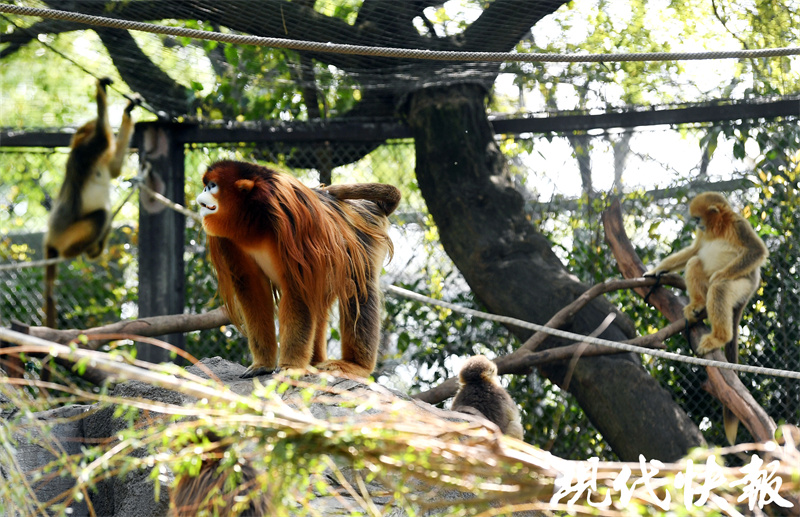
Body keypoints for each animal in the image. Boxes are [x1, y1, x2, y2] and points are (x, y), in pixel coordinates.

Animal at [42, 77, 138, 326]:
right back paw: (77, 252)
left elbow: (114, 170)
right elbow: (103, 138)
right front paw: (101, 89)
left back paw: (95, 249)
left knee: (107, 218)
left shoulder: (94, 155)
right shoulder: (85, 152)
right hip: (65, 236)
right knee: (102, 215)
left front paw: (127, 111)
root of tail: (50, 237)